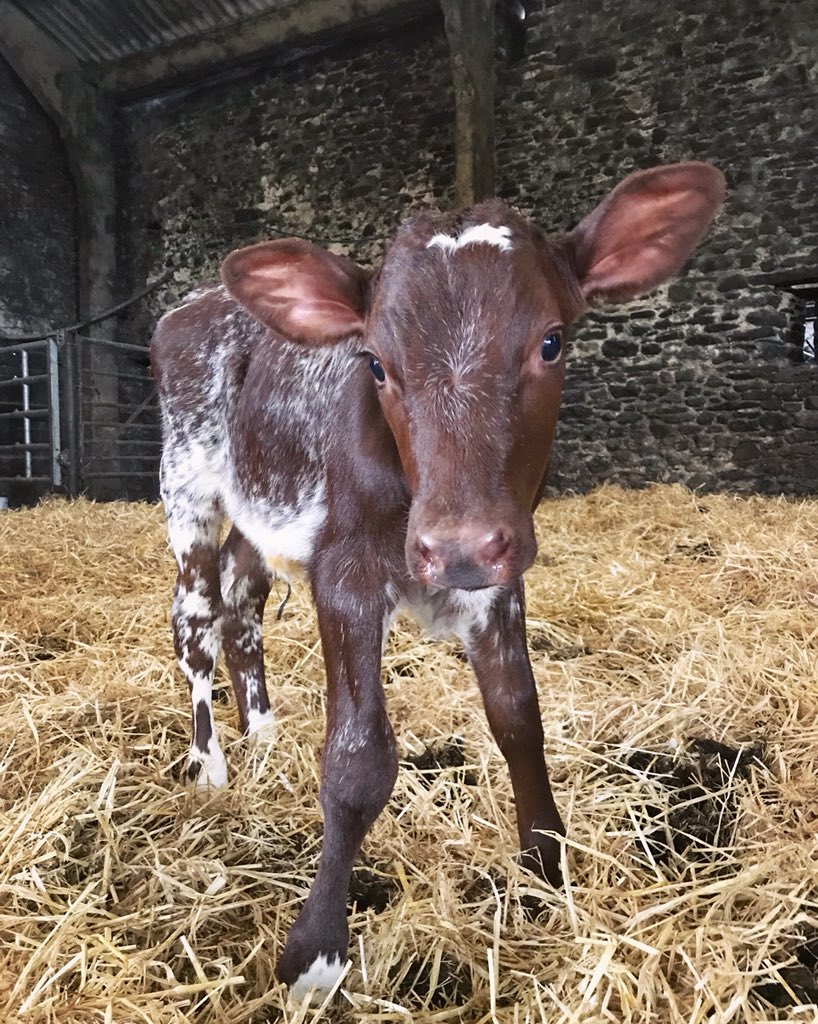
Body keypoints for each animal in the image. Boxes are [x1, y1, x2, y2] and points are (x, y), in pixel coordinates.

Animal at [150, 162, 725, 999]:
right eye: (376, 363)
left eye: (551, 341)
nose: (457, 546)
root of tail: (200, 302)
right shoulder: (347, 572)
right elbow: (358, 761)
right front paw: (315, 953)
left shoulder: (499, 578)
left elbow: (519, 718)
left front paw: (545, 868)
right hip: (188, 480)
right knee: (194, 617)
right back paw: (210, 765)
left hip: (263, 514)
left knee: (241, 603)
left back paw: (264, 733)